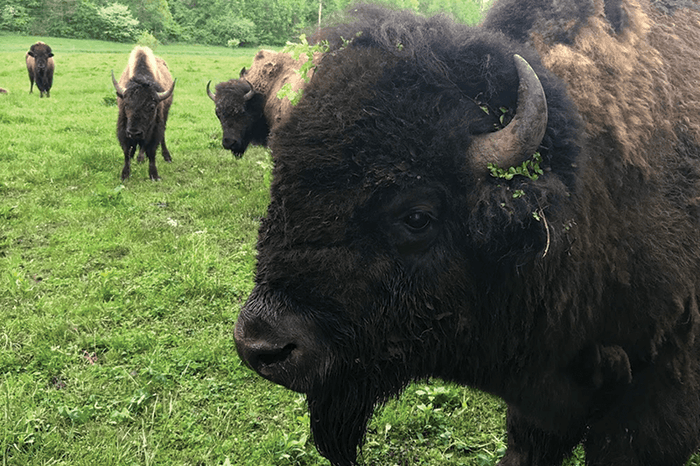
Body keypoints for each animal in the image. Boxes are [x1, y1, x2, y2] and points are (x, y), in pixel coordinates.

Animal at [112, 46, 176, 181]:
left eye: (152, 106)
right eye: (126, 105)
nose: (134, 133)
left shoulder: (155, 129)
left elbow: (151, 152)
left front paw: (154, 175)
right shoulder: (123, 128)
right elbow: (126, 151)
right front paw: (125, 175)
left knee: (161, 138)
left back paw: (165, 157)